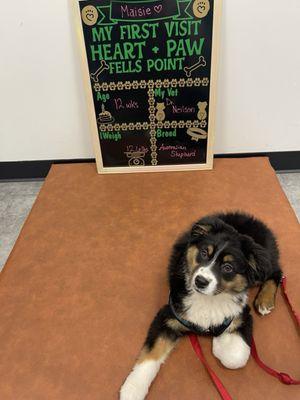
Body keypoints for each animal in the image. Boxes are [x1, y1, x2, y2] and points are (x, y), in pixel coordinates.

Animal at [119, 211, 282, 398]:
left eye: (228, 267)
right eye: (204, 253)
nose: (200, 281)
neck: (208, 299)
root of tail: (249, 217)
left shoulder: (242, 314)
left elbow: (235, 357)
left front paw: (219, 342)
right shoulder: (169, 315)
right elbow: (150, 356)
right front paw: (132, 390)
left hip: (262, 267)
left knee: (277, 272)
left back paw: (265, 300)